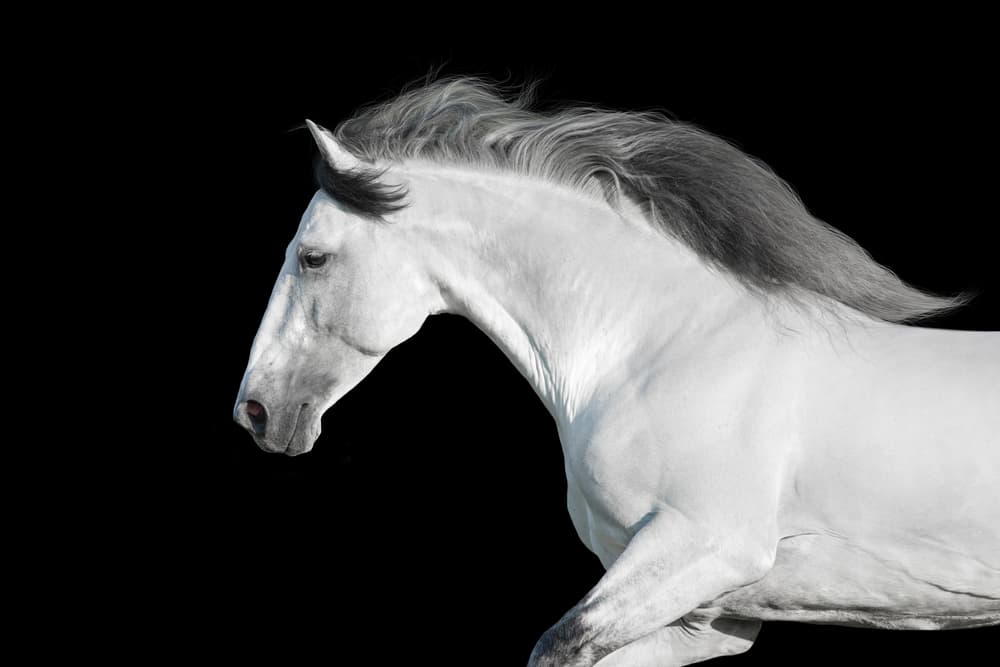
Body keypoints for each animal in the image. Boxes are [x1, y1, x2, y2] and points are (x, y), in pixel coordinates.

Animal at [233, 78, 999, 666]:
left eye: (312, 257)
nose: (256, 411)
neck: (653, 350)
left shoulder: (703, 549)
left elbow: (556, 647)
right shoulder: (703, 621)